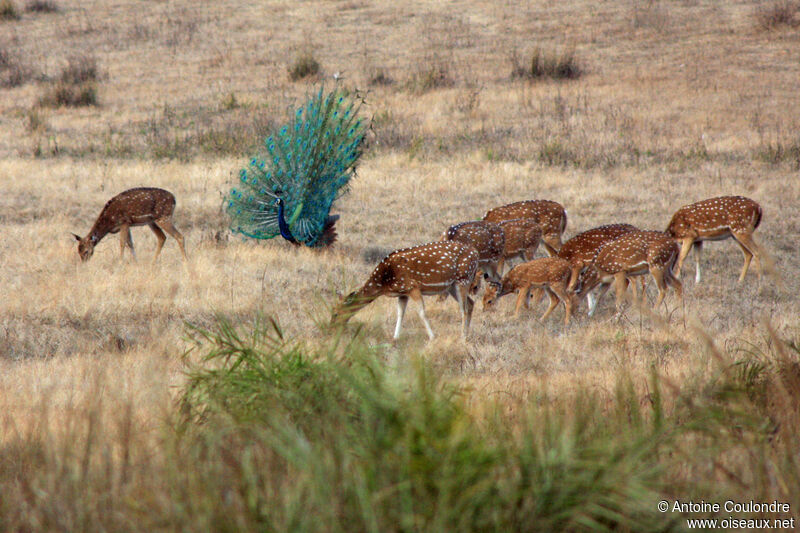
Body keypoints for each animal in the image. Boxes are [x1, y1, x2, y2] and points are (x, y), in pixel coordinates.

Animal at [330, 242, 476, 340]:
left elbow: (421, 312)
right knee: (471, 302)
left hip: (463, 278)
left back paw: (462, 336)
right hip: (452, 286)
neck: (385, 281)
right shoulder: (402, 293)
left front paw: (432, 337)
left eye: (335, 313)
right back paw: (467, 334)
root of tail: (475, 253)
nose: (331, 327)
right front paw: (395, 337)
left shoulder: (412, 287)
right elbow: (400, 313)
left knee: (464, 308)